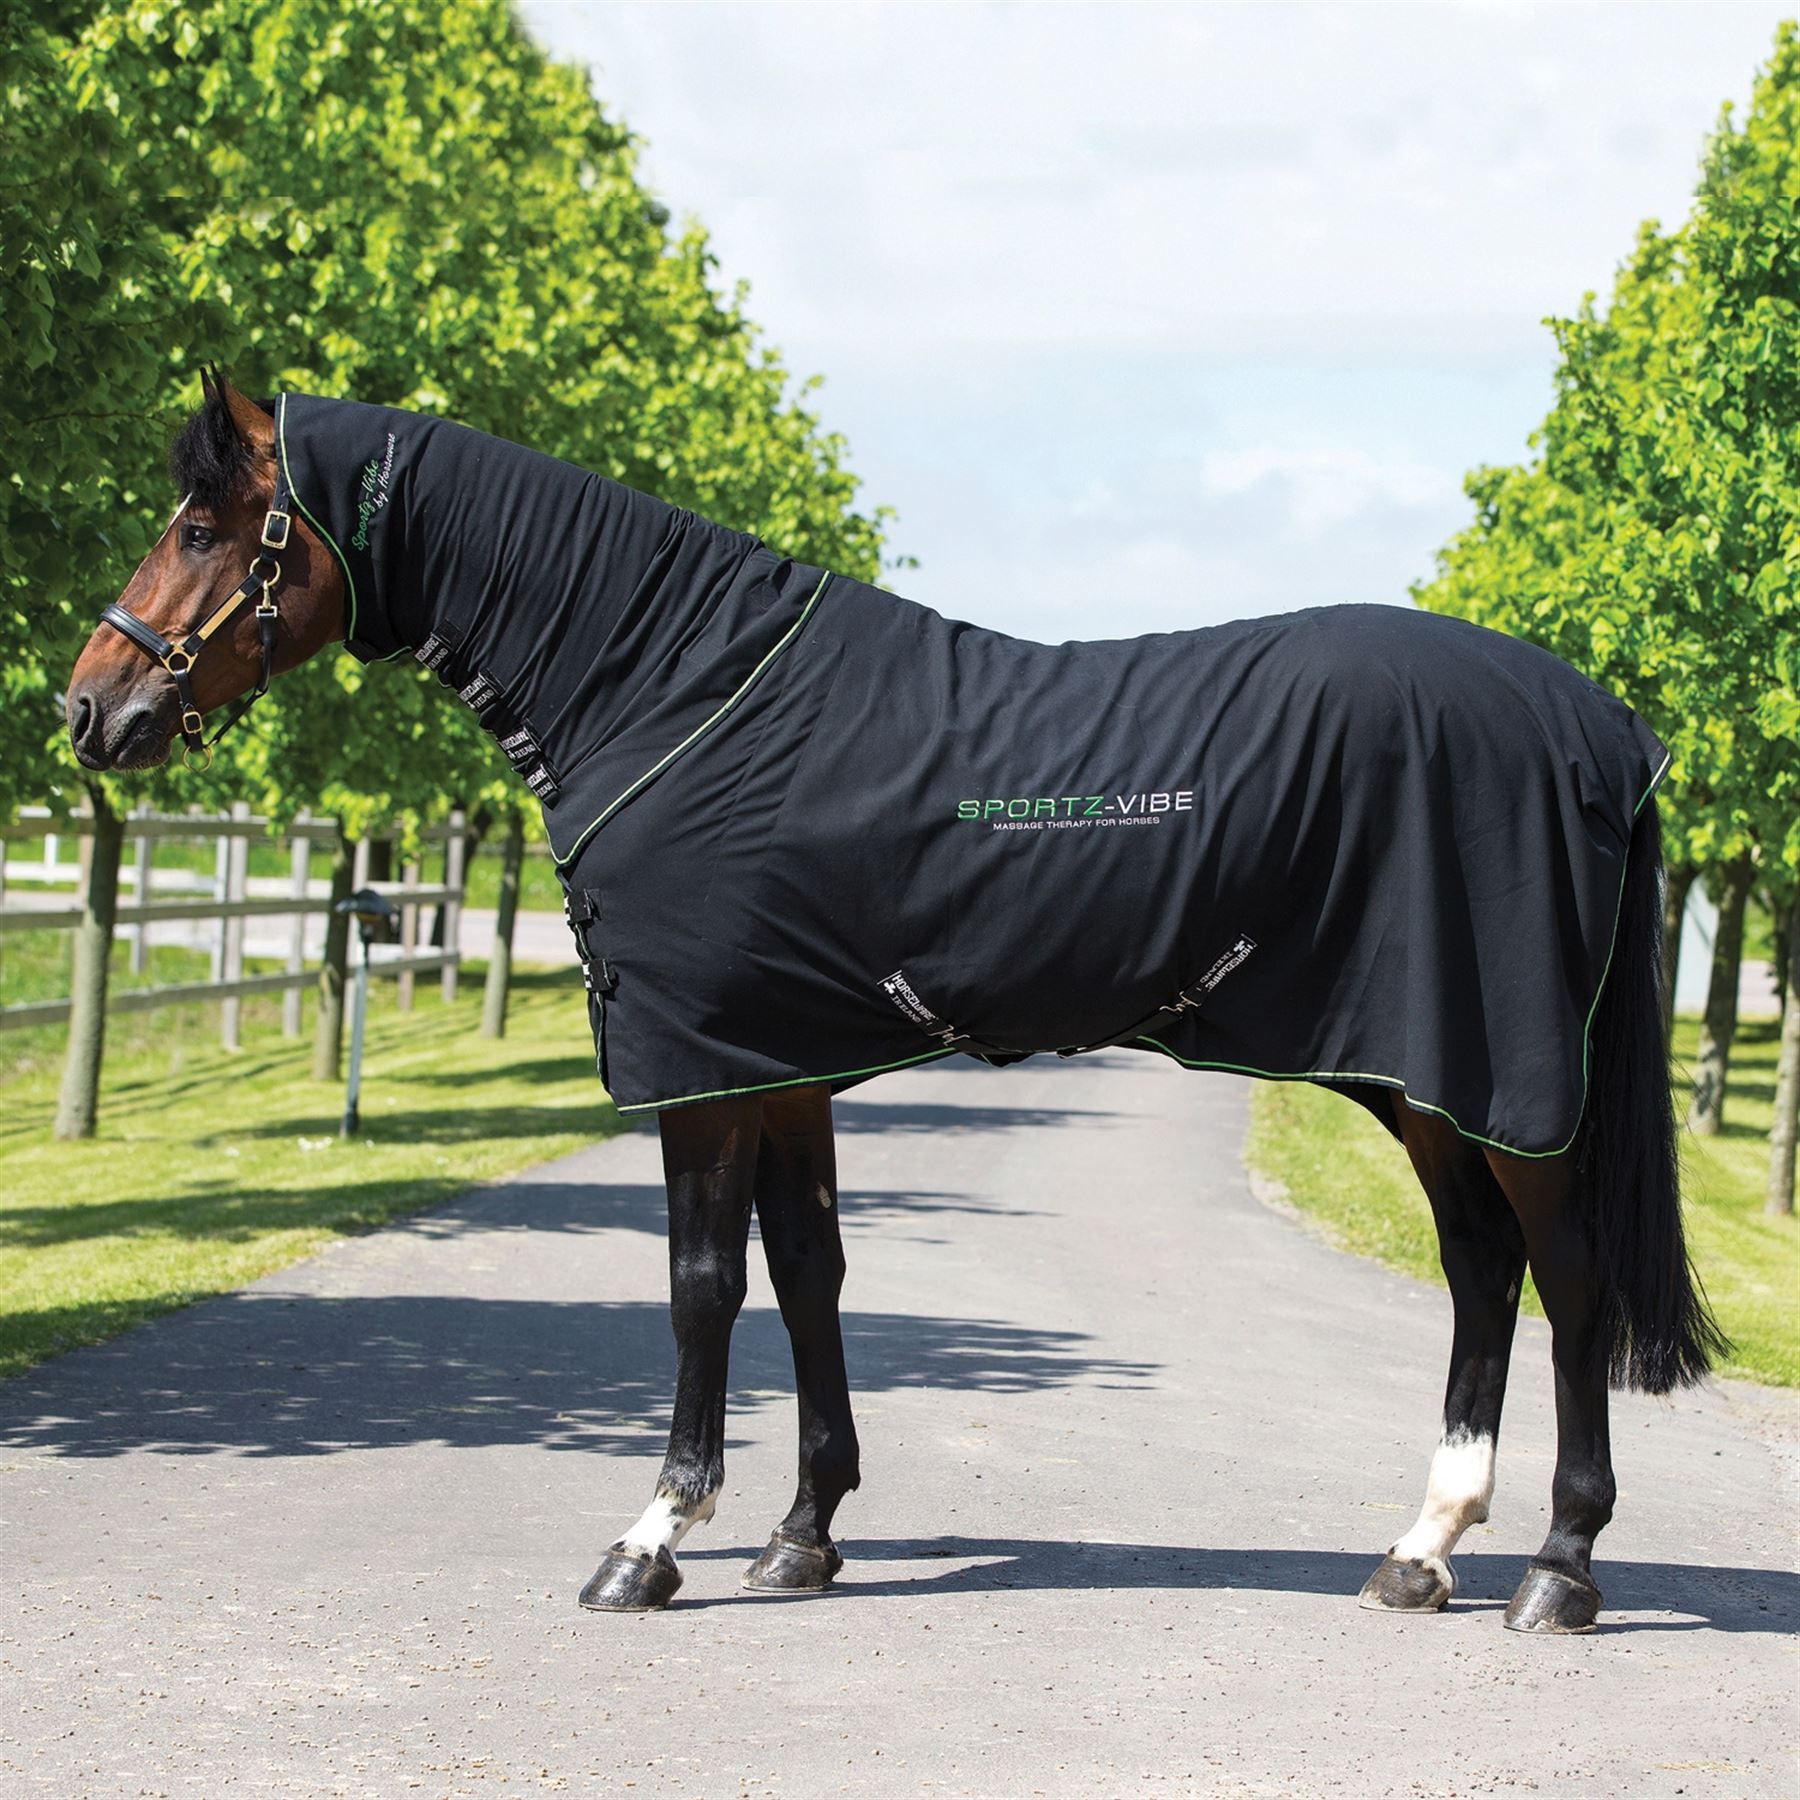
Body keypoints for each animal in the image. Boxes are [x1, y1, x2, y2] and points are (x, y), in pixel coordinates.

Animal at [66, 372, 1725, 1634]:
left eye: (202, 526)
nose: (94, 708)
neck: (672, 687)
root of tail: (1597, 720)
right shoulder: (780, 1062)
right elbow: (811, 1274)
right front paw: (803, 1533)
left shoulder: (699, 1069)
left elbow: (701, 1287)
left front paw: (652, 1541)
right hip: (1420, 1082)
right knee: (1480, 1273)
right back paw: (1422, 1549)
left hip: (1493, 1082)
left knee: (1568, 1281)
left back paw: (1560, 1572)